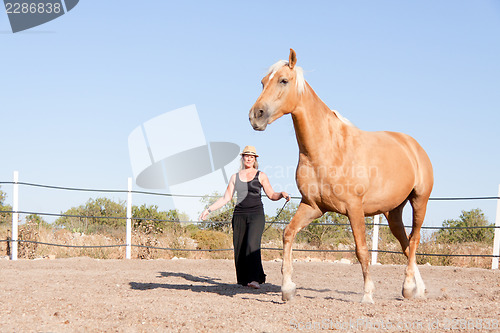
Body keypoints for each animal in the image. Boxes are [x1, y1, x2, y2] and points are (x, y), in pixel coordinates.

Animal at [249, 50, 434, 304]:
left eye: (283, 80)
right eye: (262, 82)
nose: (255, 116)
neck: (328, 149)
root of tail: (413, 146)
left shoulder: (354, 208)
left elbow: (361, 250)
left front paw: (367, 294)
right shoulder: (313, 206)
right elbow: (288, 234)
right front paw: (287, 289)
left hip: (419, 202)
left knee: (414, 242)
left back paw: (408, 287)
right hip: (393, 212)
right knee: (406, 245)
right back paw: (418, 289)